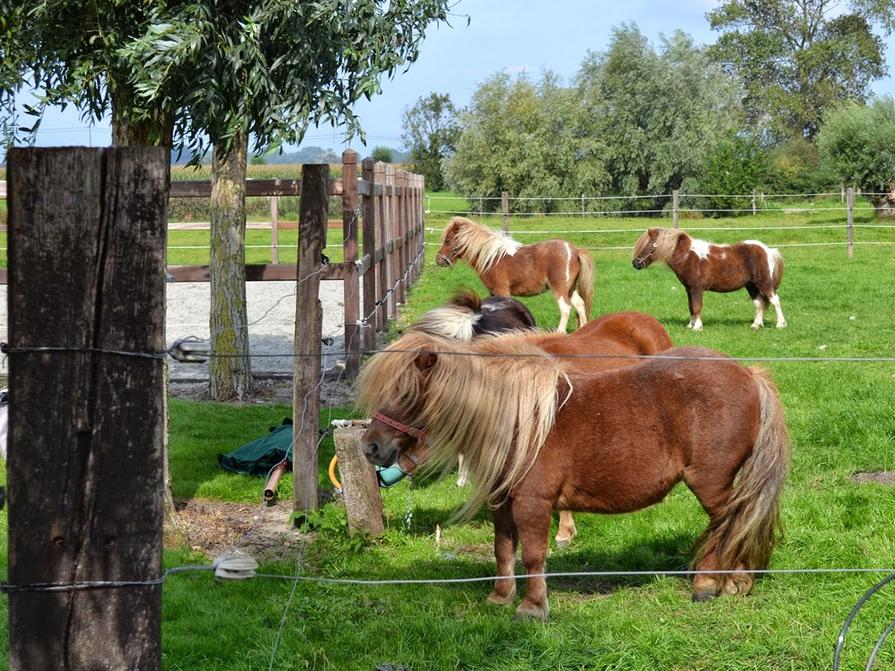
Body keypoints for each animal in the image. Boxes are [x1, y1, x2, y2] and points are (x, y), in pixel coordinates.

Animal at [357, 331, 789, 620]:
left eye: (407, 394)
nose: (371, 447)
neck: (520, 422)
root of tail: (749, 374)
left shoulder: (533, 504)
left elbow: (533, 554)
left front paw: (532, 608)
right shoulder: (502, 503)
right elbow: (503, 550)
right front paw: (499, 598)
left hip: (711, 484)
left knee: (728, 524)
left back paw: (712, 585)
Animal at [435, 216, 596, 332]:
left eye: (448, 240)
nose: (439, 260)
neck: (493, 258)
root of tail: (575, 251)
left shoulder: (502, 291)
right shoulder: (493, 293)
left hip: (560, 289)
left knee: (566, 309)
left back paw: (560, 332)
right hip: (571, 289)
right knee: (580, 305)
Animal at [632, 227, 786, 331]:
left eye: (647, 245)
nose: (635, 264)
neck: (688, 256)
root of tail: (769, 250)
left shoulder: (697, 288)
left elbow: (697, 306)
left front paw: (697, 327)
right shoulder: (689, 289)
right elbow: (691, 306)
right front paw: (690, 325)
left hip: (764, 283)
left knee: (775, 300)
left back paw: (780, 324)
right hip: (751, 286)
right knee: (759, 302)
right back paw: (756, 325)